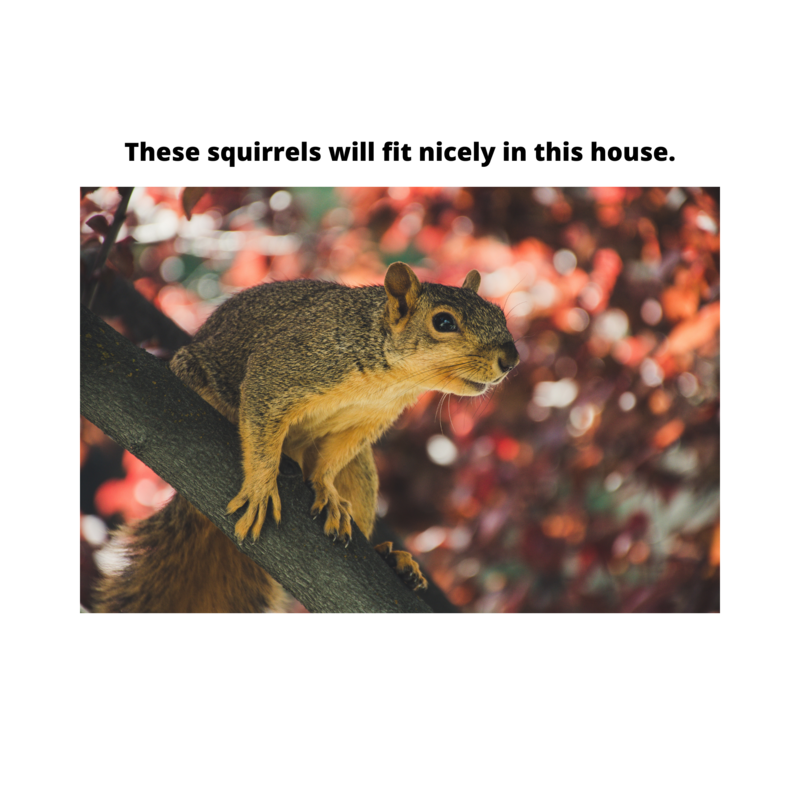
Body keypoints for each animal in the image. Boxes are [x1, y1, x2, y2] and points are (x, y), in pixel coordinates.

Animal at [94, 262, 519, 612]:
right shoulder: (283, 366)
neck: (392, 382)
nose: (511, 359)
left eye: (499, 313)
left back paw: (391, 558)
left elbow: (330, 462)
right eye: (444, 322)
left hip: (361, 475)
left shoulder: (366, 423)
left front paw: (326, 492)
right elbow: (260, 415)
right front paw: (262, 485)